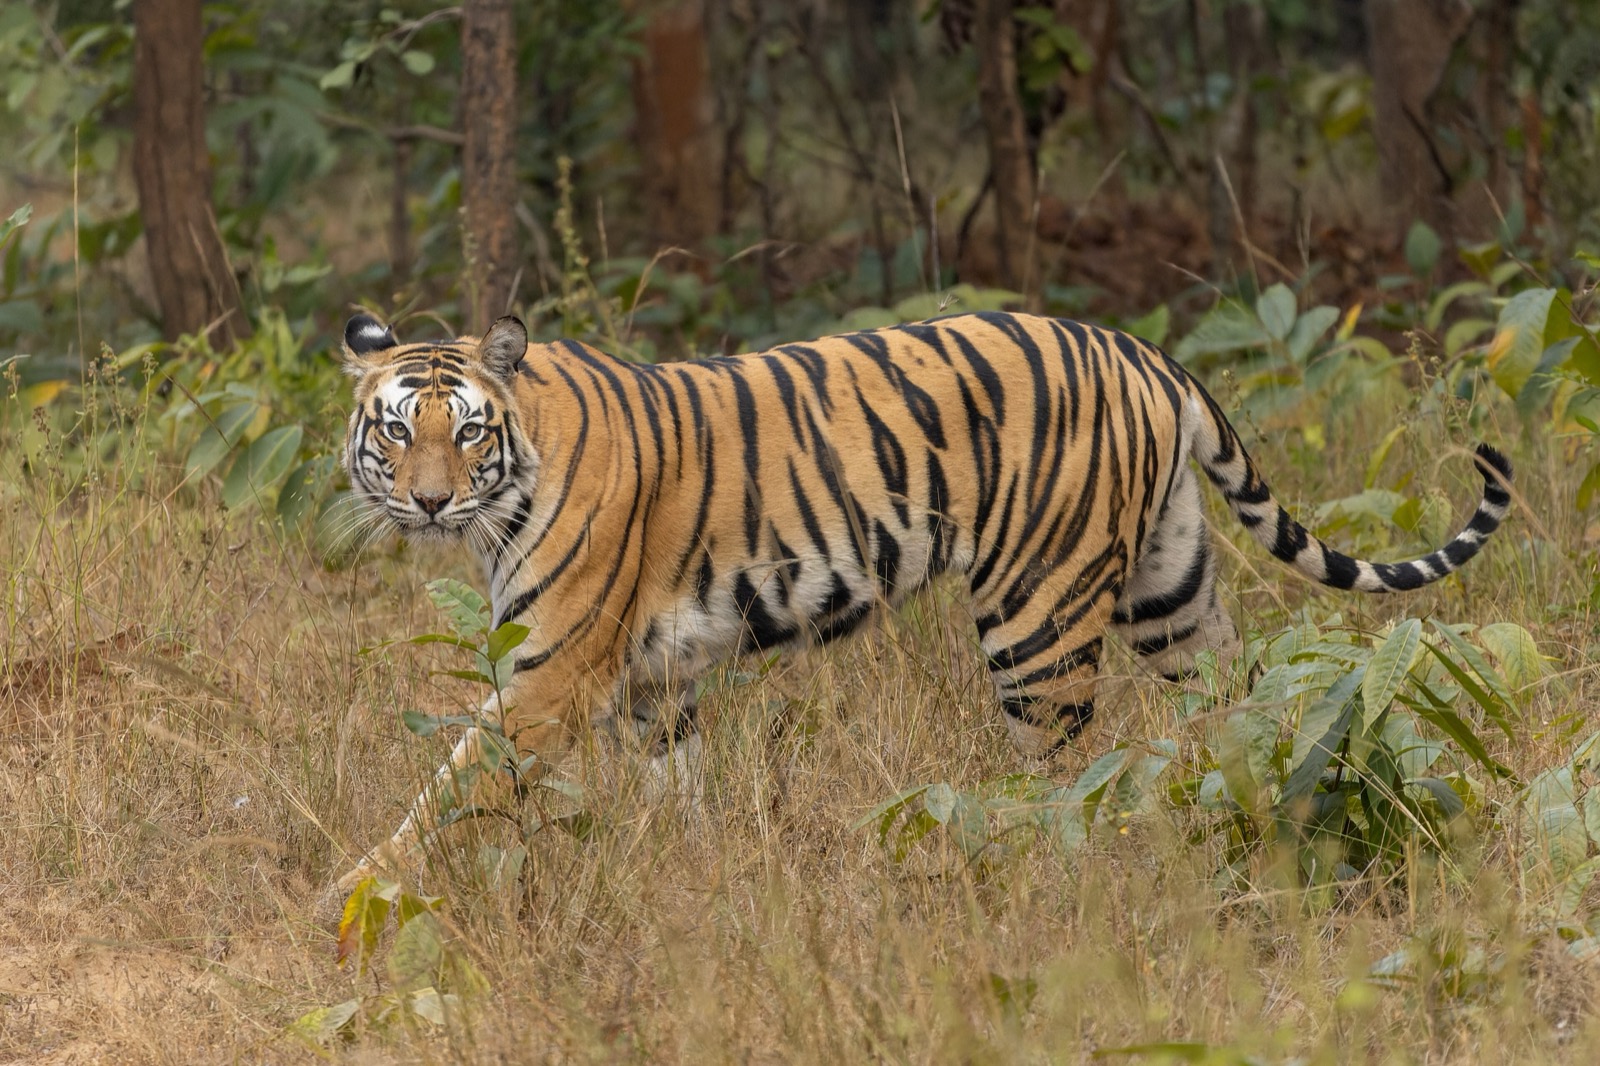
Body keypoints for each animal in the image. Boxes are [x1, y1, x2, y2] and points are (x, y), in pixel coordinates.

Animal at [335, 309, 1511, 886]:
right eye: (395, 430)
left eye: (467, 431)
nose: (429, 501)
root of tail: (1143, 351)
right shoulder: (650, 685)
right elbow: (683, 795)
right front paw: (699, 877)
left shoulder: (552, 673)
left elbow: (443, 794)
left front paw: (354, 899)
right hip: (1171, 593)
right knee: (1240, 709)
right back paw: (1252, 821)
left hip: (1040, 617)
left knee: (1066, 777)